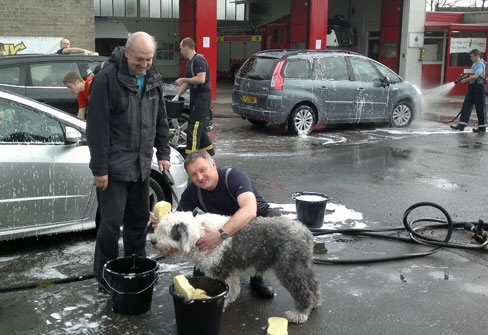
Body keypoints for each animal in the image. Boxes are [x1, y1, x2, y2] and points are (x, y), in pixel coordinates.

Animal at [152, 211, 320, 324]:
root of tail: (305, 232)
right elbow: (232, 287)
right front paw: (231, 298)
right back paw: (315, 303)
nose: (152, 241)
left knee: (303, 291)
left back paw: (299, 314)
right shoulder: (229, 269)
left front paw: (222, 305)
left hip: (290, 268)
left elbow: (224, 289)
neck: (200, 233)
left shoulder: (219, 270)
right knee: (314, 285)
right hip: (302, 266)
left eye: (165, 231)